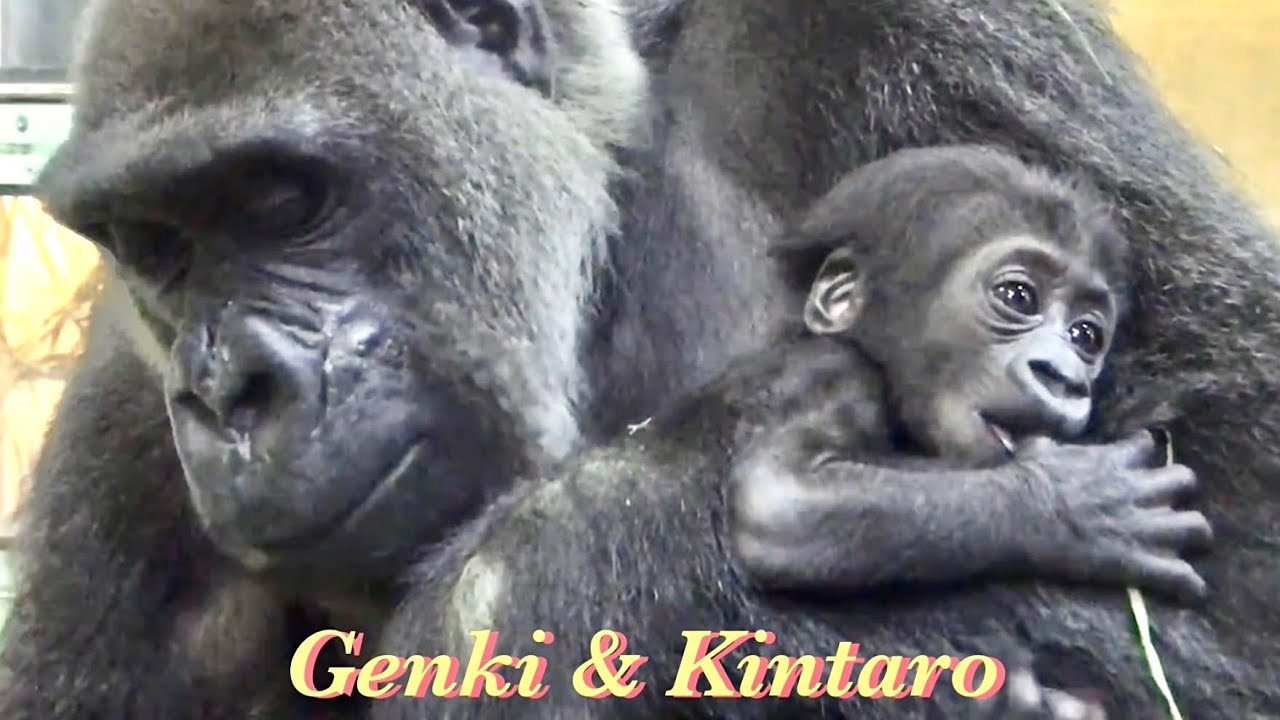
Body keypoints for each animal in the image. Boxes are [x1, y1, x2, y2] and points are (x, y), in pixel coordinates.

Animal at [4, 0, 1279, 718]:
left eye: (282, 199)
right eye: (154, 244)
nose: (226, 394)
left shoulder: (908, 32)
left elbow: (1229, 555)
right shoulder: (128, 395)